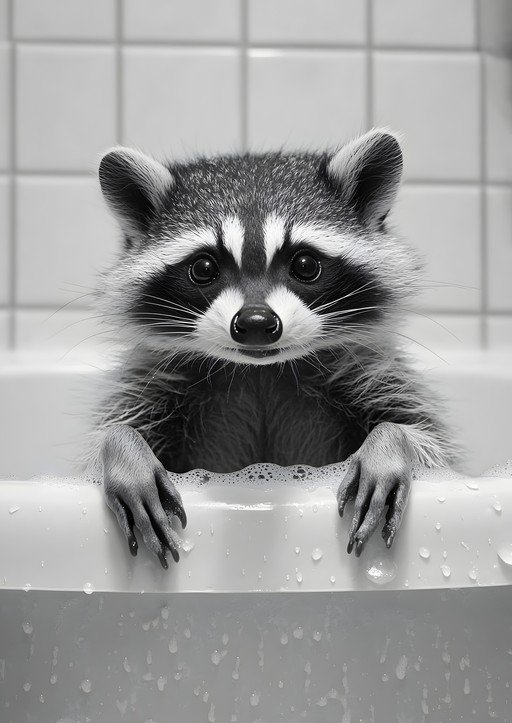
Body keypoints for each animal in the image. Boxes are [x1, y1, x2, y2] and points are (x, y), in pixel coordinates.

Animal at [89, 128, 457, 569]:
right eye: (204, 268)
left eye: (305, 265)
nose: (255, 323)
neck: (260, 370)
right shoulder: (153, 383)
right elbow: (109, 435)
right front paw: (124, 448)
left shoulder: (373, 373)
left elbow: (433, 447)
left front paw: (390, 441)